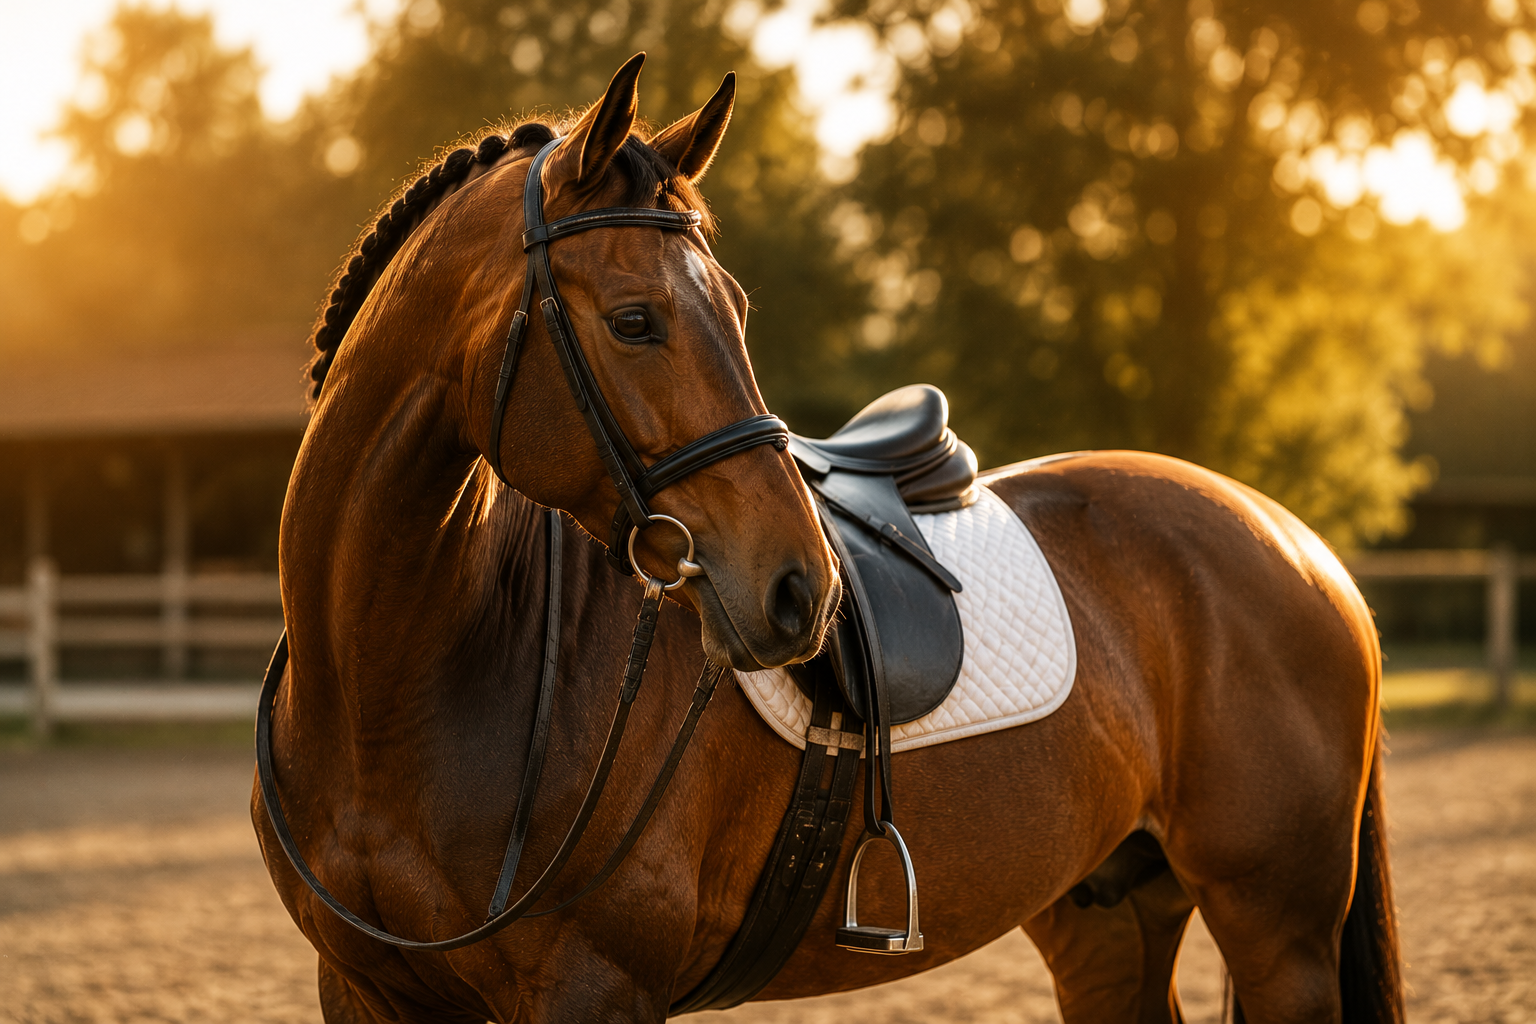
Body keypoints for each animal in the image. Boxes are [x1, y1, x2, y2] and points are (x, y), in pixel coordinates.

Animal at [254, 55, 1403, 1023]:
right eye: (634, 320)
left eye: (734, 305)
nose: (802, 592)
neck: (394, 688)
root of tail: (1294, 541)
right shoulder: (364, 991)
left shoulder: (594, 988)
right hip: (1109, 912)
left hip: (1279, 931)